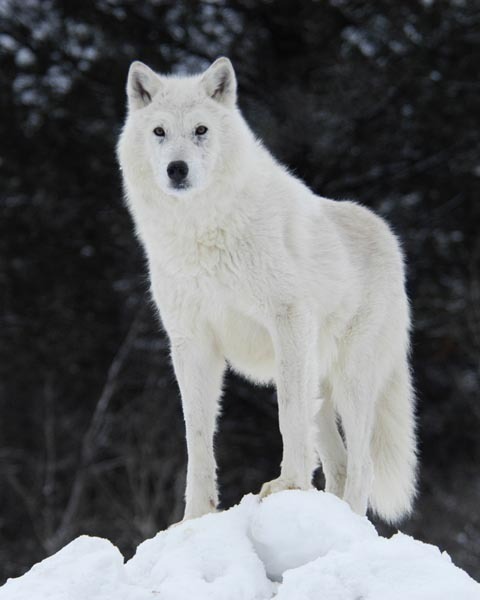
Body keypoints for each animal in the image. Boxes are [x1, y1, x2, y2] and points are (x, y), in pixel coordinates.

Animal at [117, 57, 416, 524]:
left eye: (201, 129)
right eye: (159, 131)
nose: (177, 169)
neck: (202, 232)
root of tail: (387, 233)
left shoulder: (287, 319)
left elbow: (286, 415)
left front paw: (287, 485)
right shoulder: (190, 343)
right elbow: (196, 438)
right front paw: (195, 518)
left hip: (351, 380)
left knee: (362, 466)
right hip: (322, 389)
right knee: (340, 464)